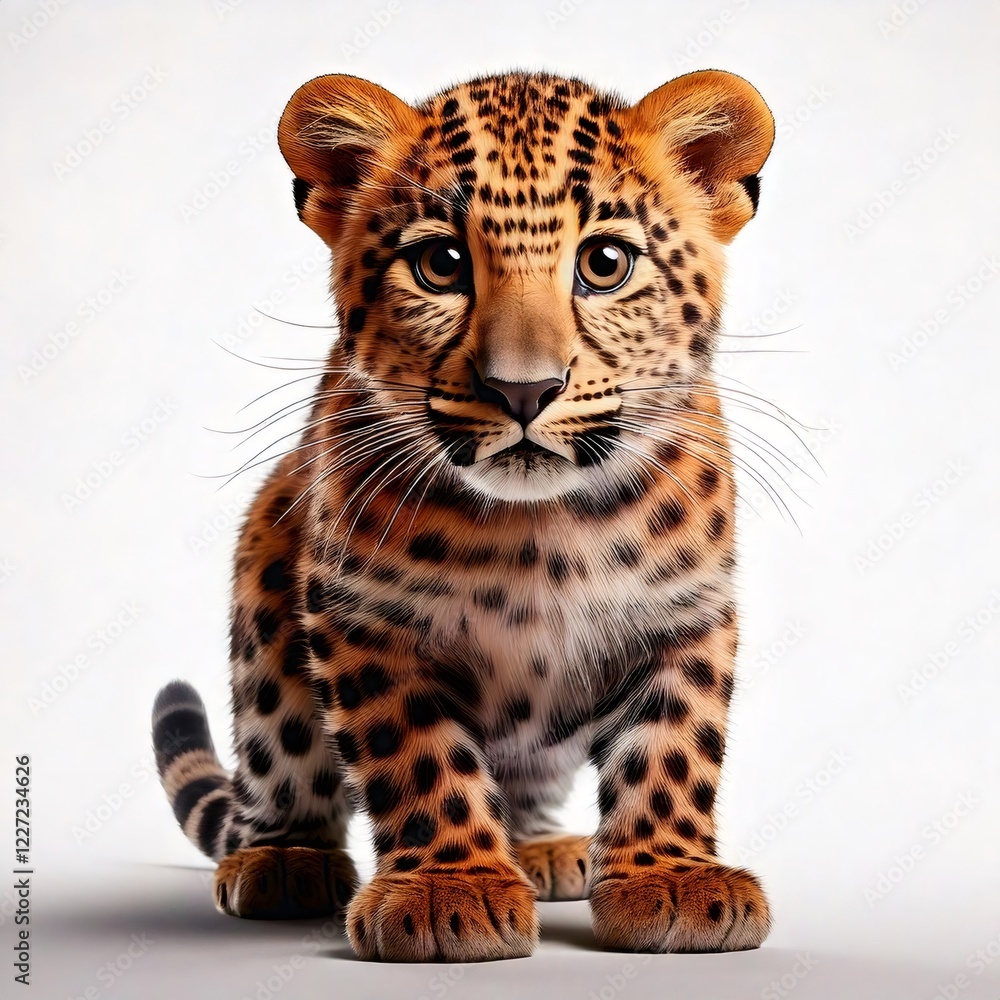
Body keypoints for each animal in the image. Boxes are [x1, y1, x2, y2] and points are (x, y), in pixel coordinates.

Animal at [151, 66, 776, 962]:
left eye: (606, 263)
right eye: (441, 264)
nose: (525, 389)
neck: (541, 532)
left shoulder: (686, 612)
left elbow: (673, 748)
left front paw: (672, 878)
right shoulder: (364, 616)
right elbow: (418, 756)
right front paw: (452, 891)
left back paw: (545, 850)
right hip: (265, 595)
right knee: (281, 769)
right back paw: (284, 862)